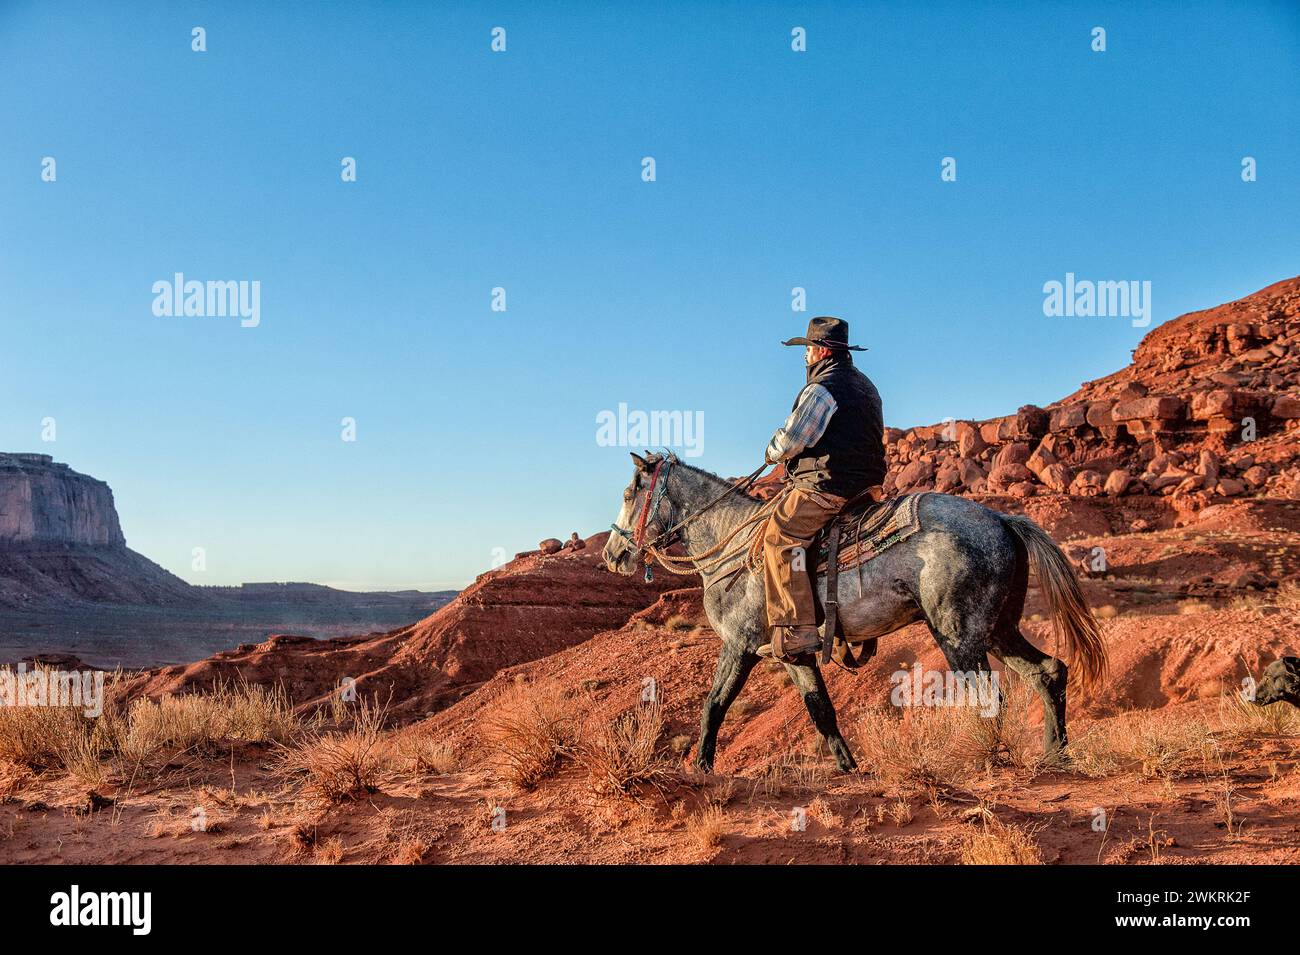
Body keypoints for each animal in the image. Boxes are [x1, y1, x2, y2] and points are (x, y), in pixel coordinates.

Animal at [600, 452, 1107, 774]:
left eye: (628, 493)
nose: (612, 554)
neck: (733, 545)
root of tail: (1003, 520)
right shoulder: (795, 654)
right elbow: (821, 710)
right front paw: (849, 767)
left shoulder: (739, 645)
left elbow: (715, 704)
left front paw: (702, 767)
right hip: (999, 628)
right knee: (1048, 672)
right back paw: (1054, 755)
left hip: (959, 634)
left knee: (988, 694)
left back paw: (990, 757)